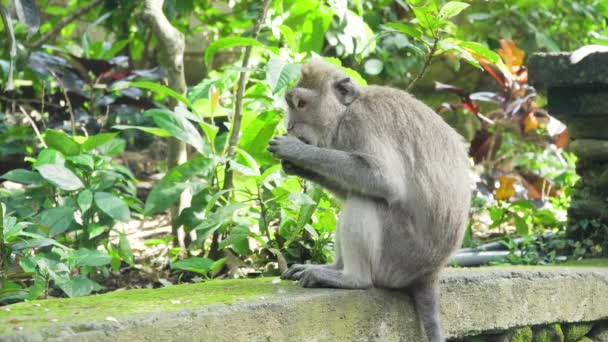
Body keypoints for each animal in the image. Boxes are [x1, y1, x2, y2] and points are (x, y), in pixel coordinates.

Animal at [266, 58, 470, 342]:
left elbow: (383, 180)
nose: (290, 127)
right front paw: (297, 166)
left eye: (302, 104)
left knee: (365, 200)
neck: (345, 111)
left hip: (397, 261)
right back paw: (334, 267)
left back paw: (352, 279)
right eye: (291, 104)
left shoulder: (360, 123)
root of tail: (430, 273)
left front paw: (297, 151)